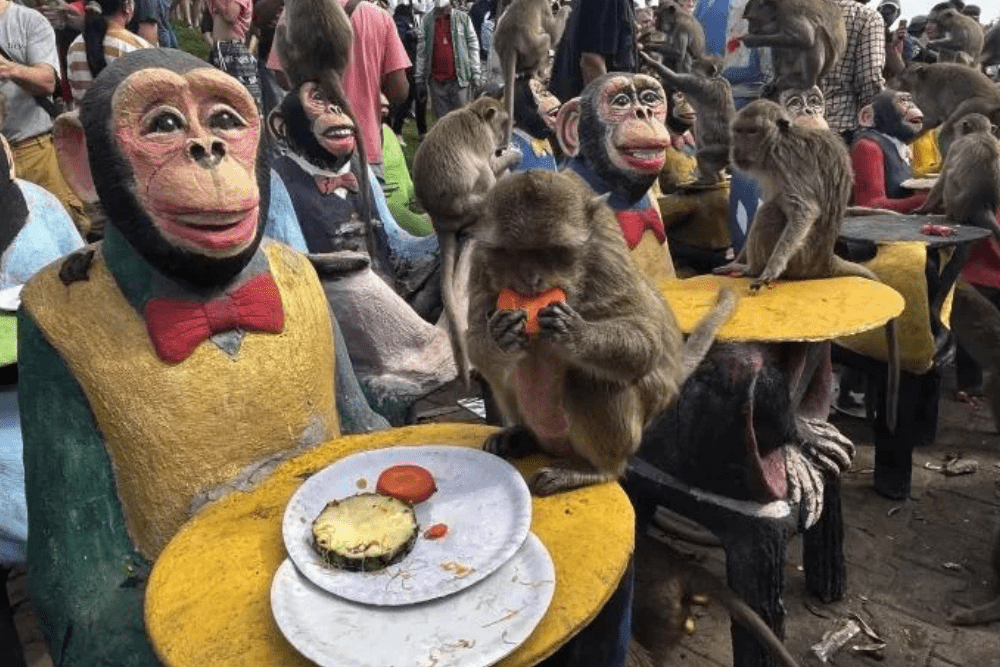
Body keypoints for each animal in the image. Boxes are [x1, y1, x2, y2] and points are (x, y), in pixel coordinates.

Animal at [412, 97, 522, 386]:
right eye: (503, 123)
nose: (502, 141)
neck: (474, 112)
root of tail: (439, 220)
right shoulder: (483, 140)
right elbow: (490, 165)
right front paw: (513, 156)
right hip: (471, 204)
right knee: (485, 173)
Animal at [469, 170, 736, 496]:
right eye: (513, 253)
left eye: (552, 252)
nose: (531, 279)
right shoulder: (479, 261)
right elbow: (474, 333)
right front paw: (500, 335)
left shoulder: (606, 256)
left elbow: (646, 341)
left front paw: (575, 334)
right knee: (504, 372)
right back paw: (521, 434)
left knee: (588, 379)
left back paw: (597, 469)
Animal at [493, 0, 568, 146]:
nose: (555, 4)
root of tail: (509, 43)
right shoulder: (544, 6)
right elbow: (553, 34)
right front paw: (565, 9)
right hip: (532, 50)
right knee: (546, 39)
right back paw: (538, 74)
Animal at [640, 53, 734, 186]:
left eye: (697, 64)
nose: (693, 65)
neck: (713, 77)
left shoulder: (696, 83)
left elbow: (675, 77)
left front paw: (652, 61)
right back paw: (719, 177)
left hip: (722, 152)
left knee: (703, 156)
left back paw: (711, 179)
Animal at [915, 113, 1000, 246]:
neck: (980, 132)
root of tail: (982, 206)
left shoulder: (954, 146)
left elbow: (942, 179)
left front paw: (923, 208)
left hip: (955, 205)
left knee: (949, 178)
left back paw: (949, 215)